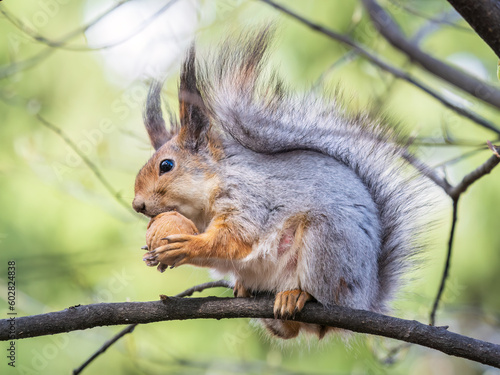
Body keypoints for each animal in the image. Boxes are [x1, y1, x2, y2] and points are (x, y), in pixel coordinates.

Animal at [132, 28, 430, 340]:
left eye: (166, 166)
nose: (137, 205)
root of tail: (366, 297)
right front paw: (154, 256)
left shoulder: (250, 200)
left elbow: (235, 239)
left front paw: (185, 246)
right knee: (287, 330)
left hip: (328, 245)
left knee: (322, 300)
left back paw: (298, 295)